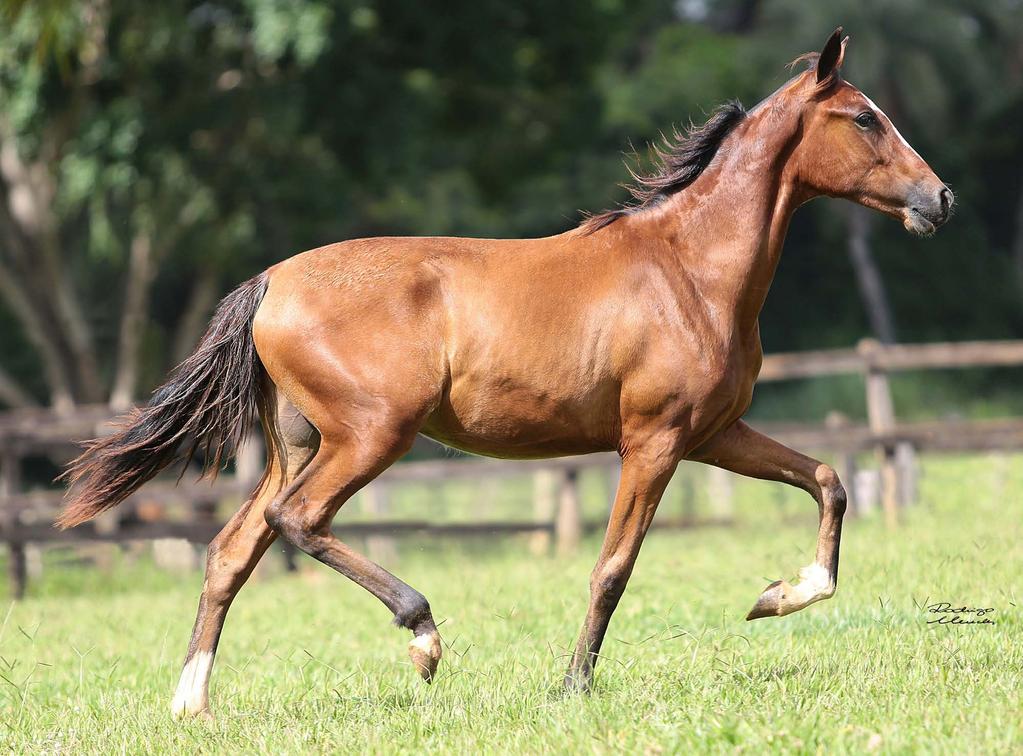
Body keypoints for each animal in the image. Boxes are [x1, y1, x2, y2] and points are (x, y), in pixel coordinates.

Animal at [56, 28, 949, 716]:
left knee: (232, 549)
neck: (689, 272)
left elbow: (828, 478)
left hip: (298, 444)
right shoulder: (653, 441)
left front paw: (779, 596)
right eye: (864, 118)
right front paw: (573, 687)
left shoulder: (713, 433)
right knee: (296, 522)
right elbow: (612, 568)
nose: (938, 200)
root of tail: (270, 280)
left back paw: (192, 702)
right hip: (370, 436)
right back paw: (421, 635)